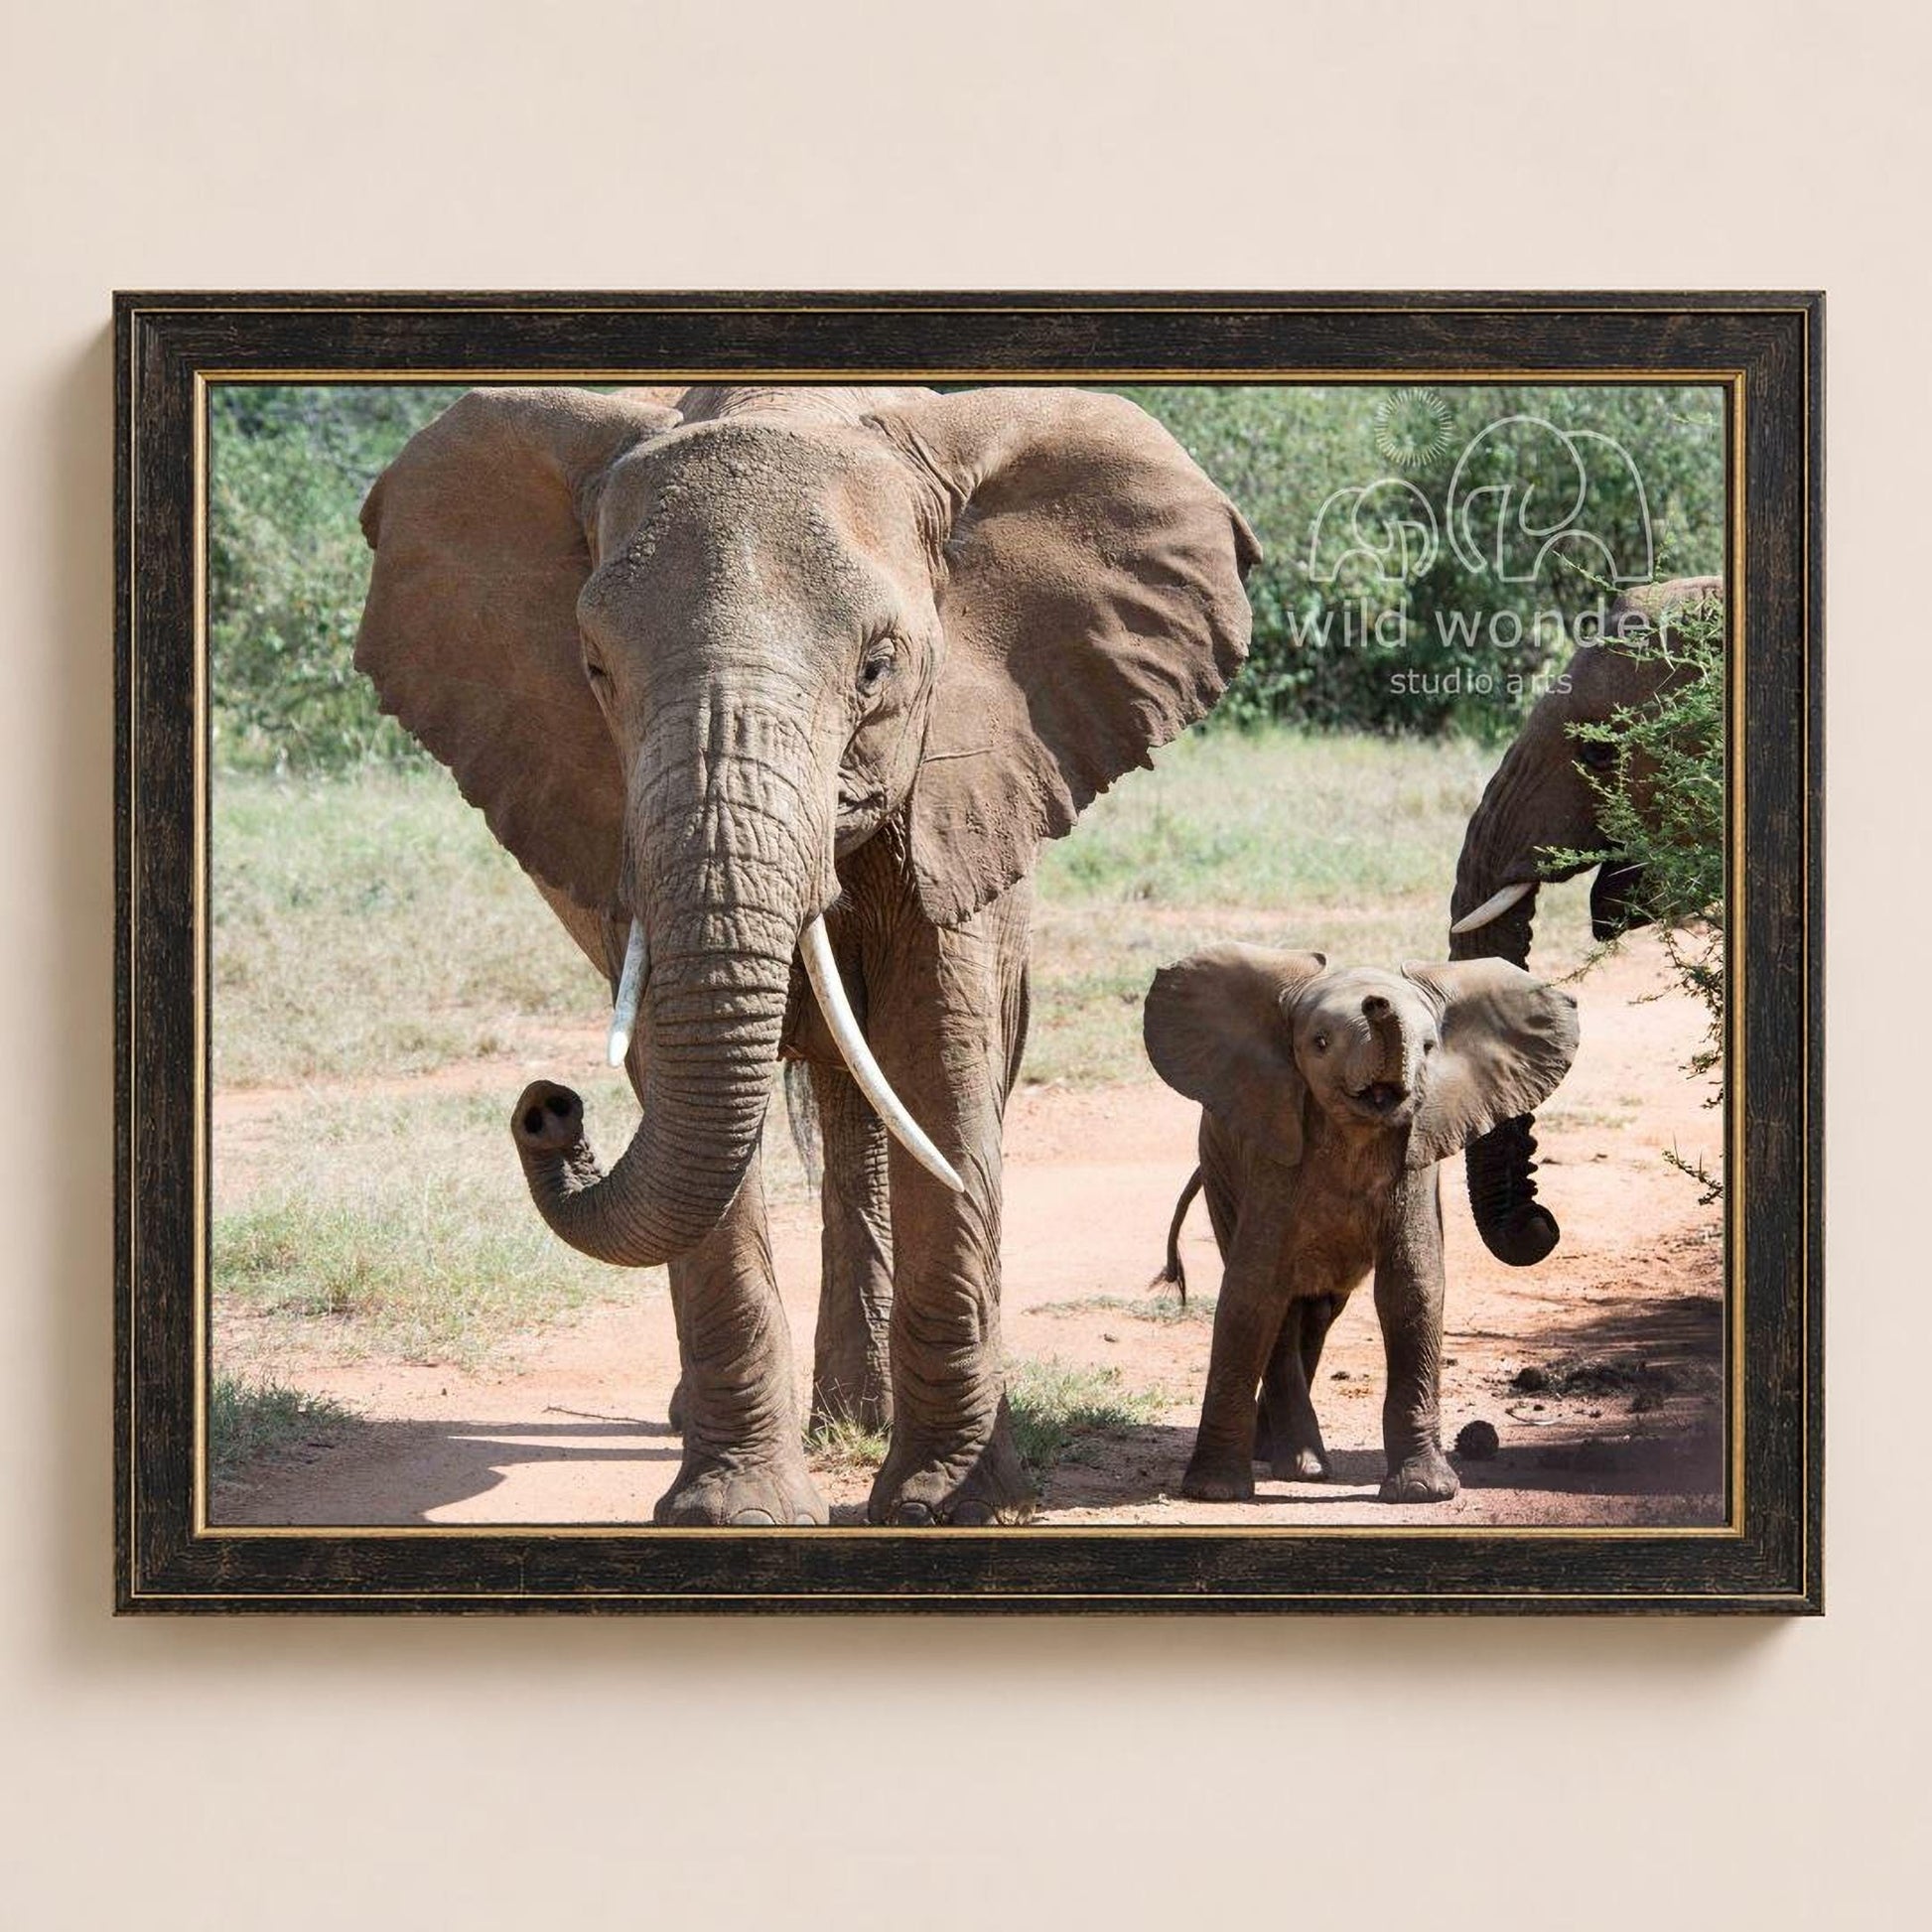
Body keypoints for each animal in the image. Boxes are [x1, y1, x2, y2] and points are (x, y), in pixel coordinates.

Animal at [354, 382, 1258, 1526]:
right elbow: (682, 1079)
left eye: (877, 667)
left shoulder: (966, 772)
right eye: (594, 669)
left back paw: (859, 1419)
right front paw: (731, 1510)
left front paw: (948, 1504)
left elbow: (940, 1063)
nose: (549, 1109)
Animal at [1143, 946, 1578, 1503]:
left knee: (1318, 1311)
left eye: (1429, 1047)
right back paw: (1300, 1466)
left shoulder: (1416, 1160)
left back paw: (1282, 1455)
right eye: (1320, 1043)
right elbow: (1251, 1293)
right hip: (1219, 1166)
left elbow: (1412, 1288)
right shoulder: (1271, 1159)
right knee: (1283, 1309)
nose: (1377, 1003)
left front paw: (1424, 1492)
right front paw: (1213, 1492)